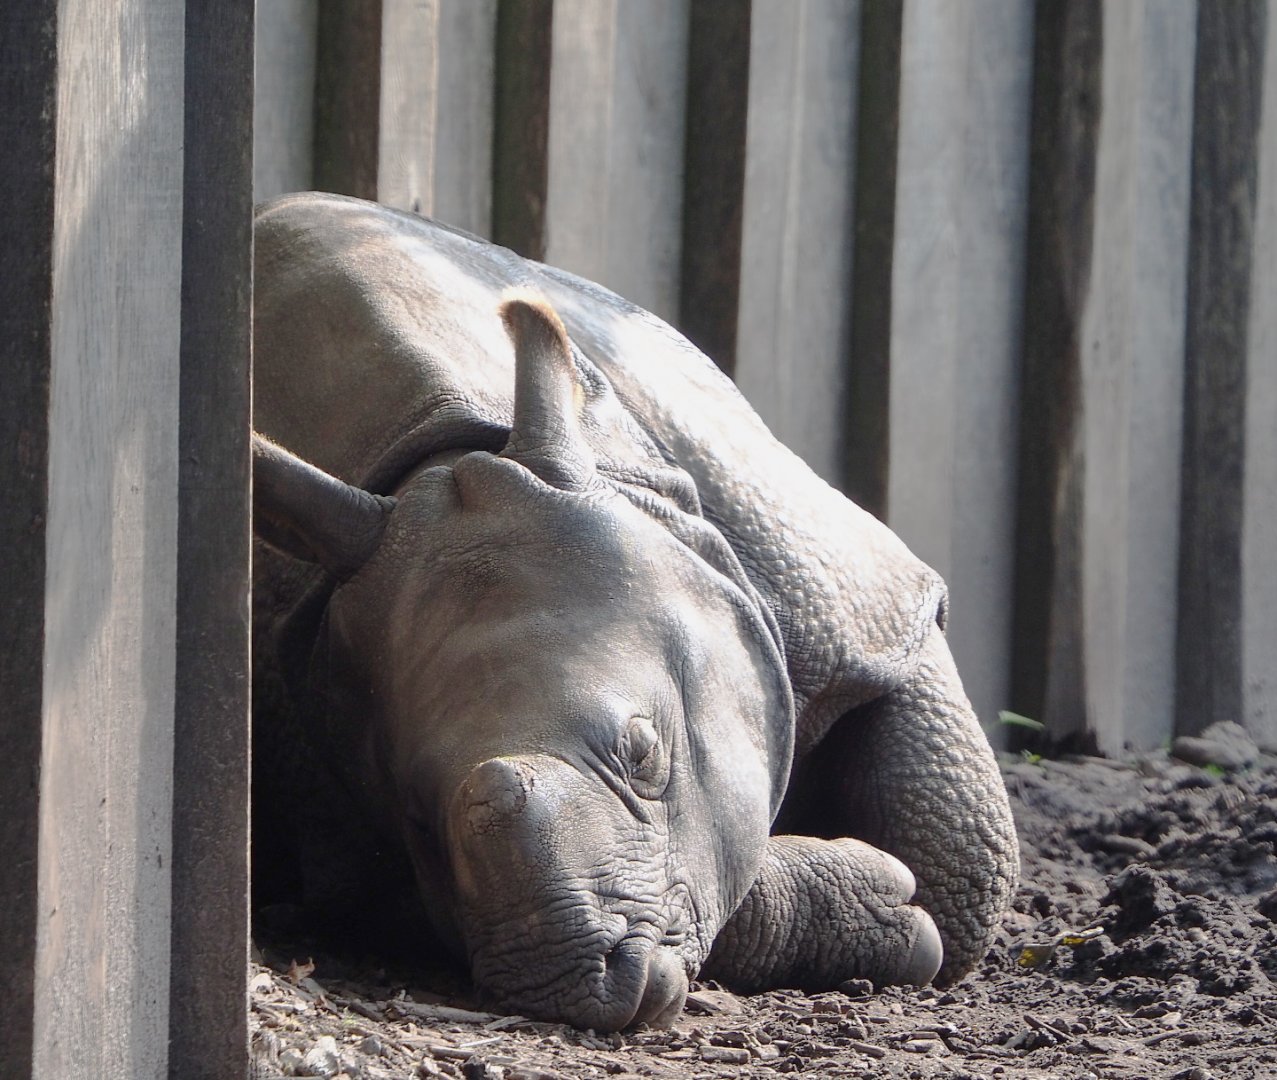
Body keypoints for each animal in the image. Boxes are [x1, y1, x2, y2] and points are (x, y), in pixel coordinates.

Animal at [251, 191, 1018, 1032]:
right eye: (414, 819)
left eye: (643, 754)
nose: (572, 983)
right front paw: (881, 900)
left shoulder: (862, 600)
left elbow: (961, 851)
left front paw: (899, 902)